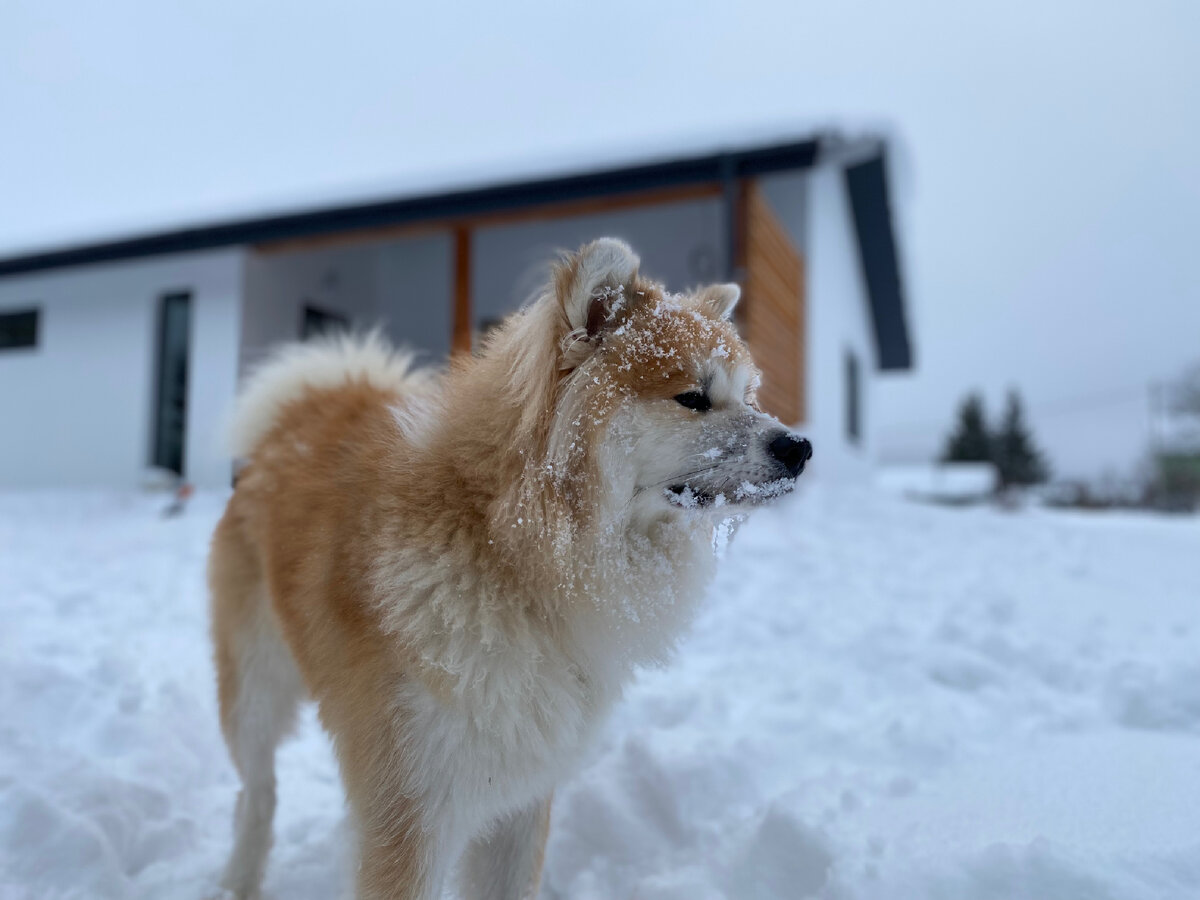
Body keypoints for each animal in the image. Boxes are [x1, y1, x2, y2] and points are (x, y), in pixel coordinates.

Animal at [211, 236, 816, 897]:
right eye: (694, 397)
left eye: (749, 398)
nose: (799, 447)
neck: (509, 551)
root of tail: (303, 415)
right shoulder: (410, 809)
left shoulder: (523, 795)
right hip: (254, 693)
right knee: (257, 795)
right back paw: (237, 880)